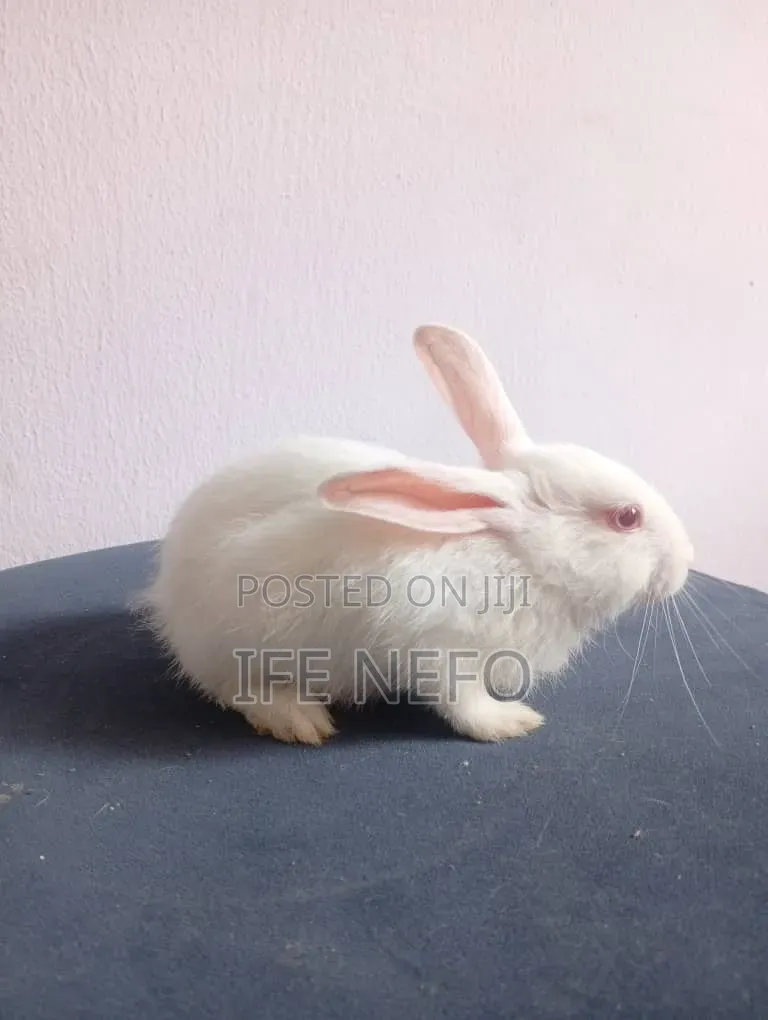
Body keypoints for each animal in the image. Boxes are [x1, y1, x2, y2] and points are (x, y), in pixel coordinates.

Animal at [137, 324, 693, 746]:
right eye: (627, 517)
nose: (687, 559)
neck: (517, 555)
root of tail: (169, 599)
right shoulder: (444, 647)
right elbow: (463, 702)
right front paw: (511, 723)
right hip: (239, 642)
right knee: (233, 688)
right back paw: (297, 719)